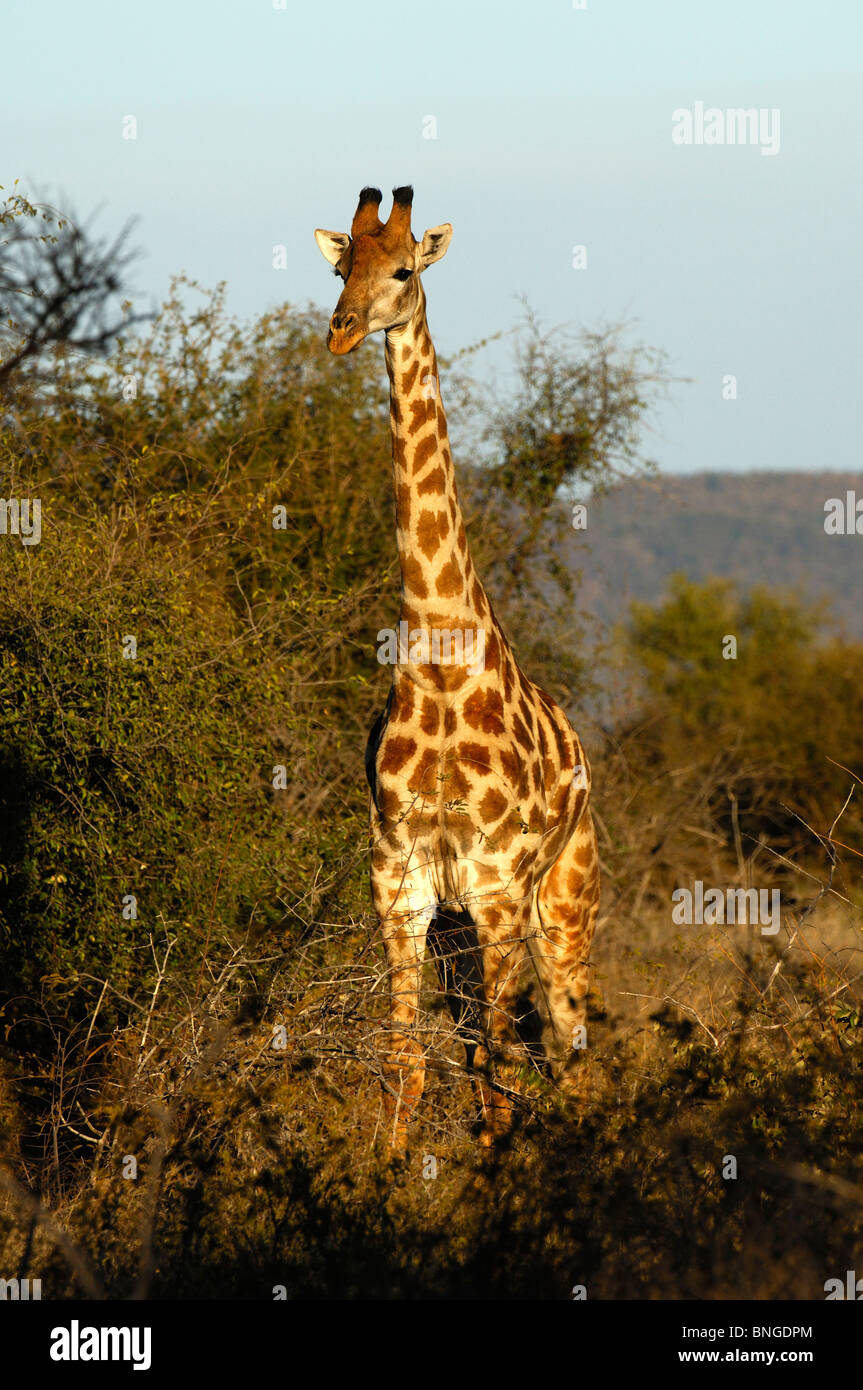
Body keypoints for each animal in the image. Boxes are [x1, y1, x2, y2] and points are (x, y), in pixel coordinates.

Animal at [314, 187, 600, 1150]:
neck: (438, 666)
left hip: (566, 901)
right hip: (460, 929)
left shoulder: (497, 886)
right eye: (340, 267)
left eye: (403, 270)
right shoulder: (399, 882)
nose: (340, 330)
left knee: (567, 1045)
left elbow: (497, 1064)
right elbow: (405, 1057)